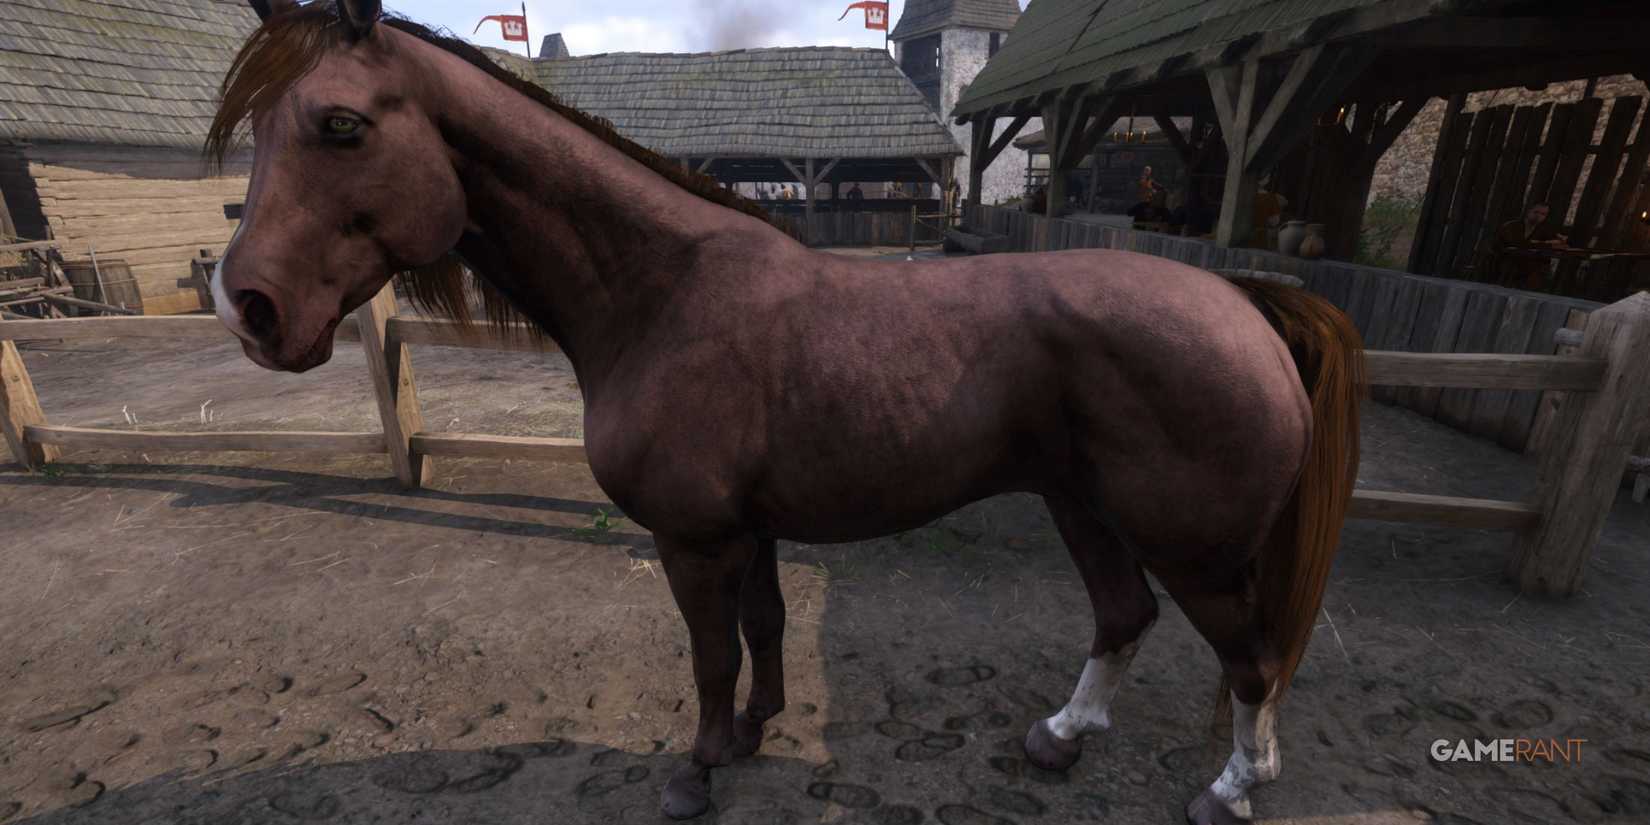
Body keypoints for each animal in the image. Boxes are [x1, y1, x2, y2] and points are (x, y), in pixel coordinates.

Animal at [209, 2, 1363, 822]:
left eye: (342, 123)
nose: (249, 306)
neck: (663, 292)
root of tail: (1247, 304)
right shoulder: (749, 528)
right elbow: (762, 628)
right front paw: (758, 730)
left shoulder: (693, 537)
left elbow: (712, 653)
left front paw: (699, 769)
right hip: (1085, 507)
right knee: (1125, 618)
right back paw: (1060, 736)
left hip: (1194, 546)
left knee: (1252, 660)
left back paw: (1228, 791)